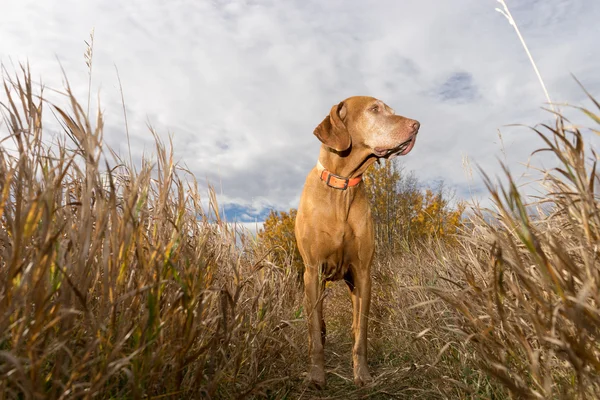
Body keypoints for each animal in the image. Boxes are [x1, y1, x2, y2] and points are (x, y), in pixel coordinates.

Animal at [294, 96, 418, 388]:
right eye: (374, 109)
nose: (417, 125)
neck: (343, 186)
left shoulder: (362, 273)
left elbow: (361, 331)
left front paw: (362, 374)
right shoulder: (313, 271)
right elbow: (315, 329)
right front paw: (316, 376)